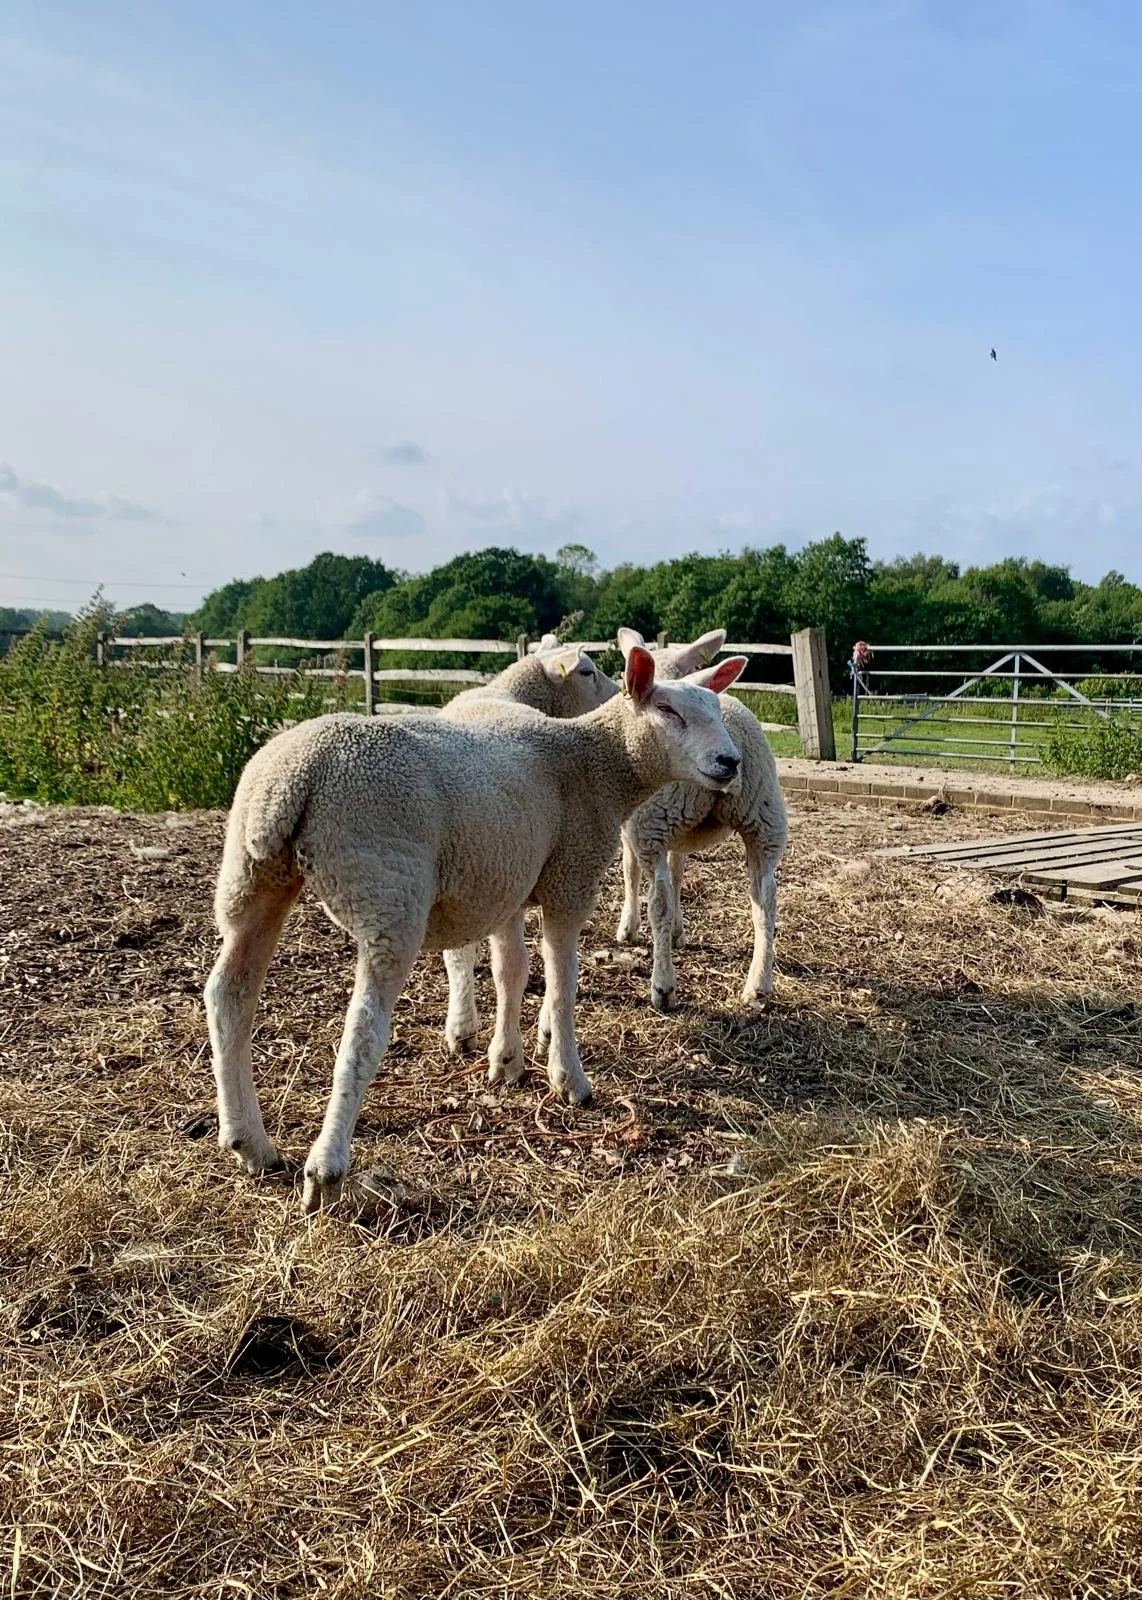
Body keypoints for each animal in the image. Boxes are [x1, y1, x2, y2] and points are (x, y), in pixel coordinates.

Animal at [614, 628, 788, 1013]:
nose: (727, 759)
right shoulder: (677, 832)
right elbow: (678, 871)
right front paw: (679, 931)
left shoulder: (635, 828)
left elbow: (632, 873)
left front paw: (628, 927)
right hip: (763, 815)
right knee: (766, 901)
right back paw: (758, 986)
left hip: (654, 819)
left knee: (659, 903)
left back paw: (663, 987)